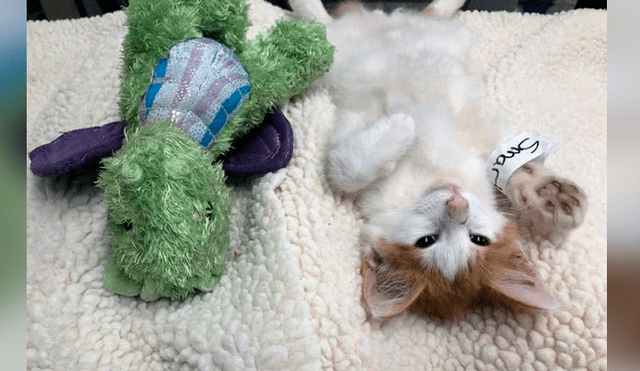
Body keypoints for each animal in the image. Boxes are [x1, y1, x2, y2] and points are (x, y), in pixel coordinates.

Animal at [288, 0, 588, 320]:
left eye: (478, 239)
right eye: (427, 240)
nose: (457, 204)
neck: (430, 175)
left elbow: (511, 164)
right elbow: (344, 170)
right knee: (330, 20)